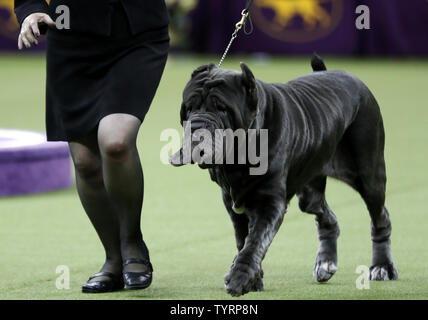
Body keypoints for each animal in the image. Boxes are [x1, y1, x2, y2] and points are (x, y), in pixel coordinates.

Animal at [170, 55, 398, 298]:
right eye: (189, 108)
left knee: (381, 218)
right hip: (309, 191)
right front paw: (253, 280)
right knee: (327, 217)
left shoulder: (269, 203)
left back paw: (382, 266)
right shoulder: (232, 202)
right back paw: (326, 263)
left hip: (369, 174)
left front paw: (239, 278)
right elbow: (243, 239)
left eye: (222, 109)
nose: (197, 126)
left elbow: (255, 241)